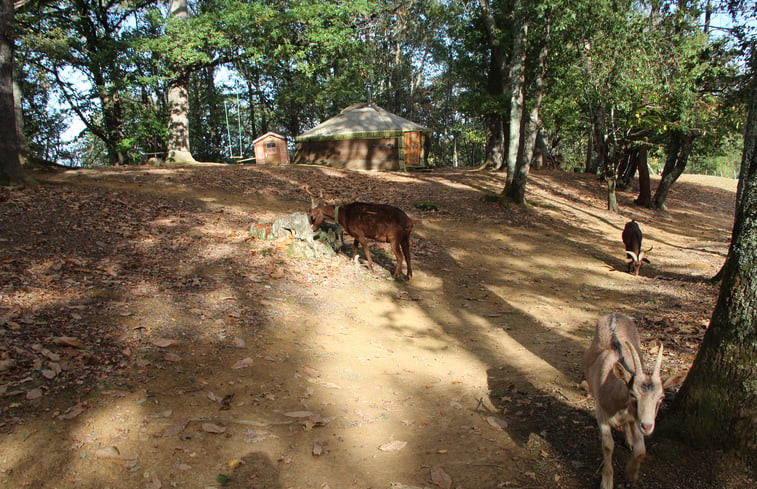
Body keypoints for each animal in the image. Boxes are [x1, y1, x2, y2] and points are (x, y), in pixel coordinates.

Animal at [580, 312, 684, 488]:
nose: (647, 426)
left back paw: (629, 440)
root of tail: (615, 313)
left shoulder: (637, 417)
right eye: (633, 394)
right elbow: (608, 446)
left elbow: (641, 449)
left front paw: (631, 474)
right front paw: (607, 482)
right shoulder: (602, 413)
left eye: (661, 397)